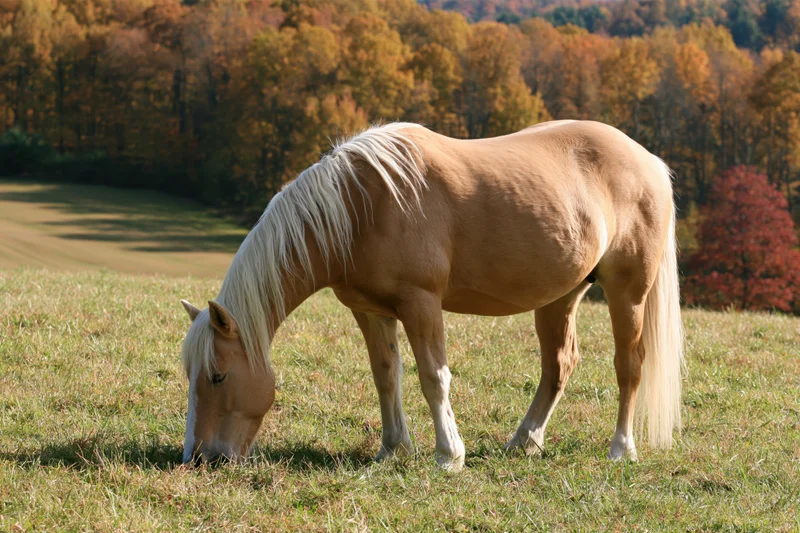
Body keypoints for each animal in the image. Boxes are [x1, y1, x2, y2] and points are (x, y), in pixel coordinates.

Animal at [179, 120, 684, 471]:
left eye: (219, 376)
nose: (200, 458)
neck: (361, 205)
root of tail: (650, 162)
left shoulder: (421, 303)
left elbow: (433, 377)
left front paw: (448, 456)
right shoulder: (369, 311)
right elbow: (386, 376)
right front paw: (392, 449)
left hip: (628, 292)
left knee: (629, 367)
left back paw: (621, 449)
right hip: (560, 297)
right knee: (559, 366)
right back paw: (524, 442)